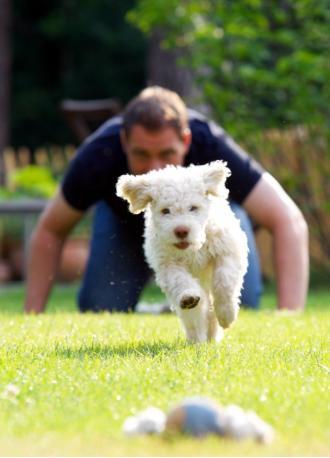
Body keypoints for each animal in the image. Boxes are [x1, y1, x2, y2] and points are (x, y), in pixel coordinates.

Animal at [116, 161, 248, 344]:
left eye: (193, 208)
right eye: (165, 211)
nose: (181, 231)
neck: (193, 248)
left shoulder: (228, 251)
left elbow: (224, 282)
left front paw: (226, 314)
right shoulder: (168, 265)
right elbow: (180, 281)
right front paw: (188, 297)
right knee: (194, 315)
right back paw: (197, 339)